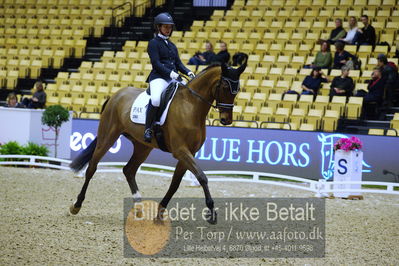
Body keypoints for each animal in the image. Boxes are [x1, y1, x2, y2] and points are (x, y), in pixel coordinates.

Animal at [70, 58, 248, 224]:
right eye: (224, 87)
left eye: (237, 90)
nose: (226, 120)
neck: (191, 107)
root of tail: (115, 95)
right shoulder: (180, 151)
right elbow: (202, 177)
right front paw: (211, 212)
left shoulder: (188, 153)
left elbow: (175, 184)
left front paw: (159, 215)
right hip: (108, 137)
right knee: (92, 168)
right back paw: (76, 205)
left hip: (142, 147)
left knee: (129, 170)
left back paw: (139, 208)